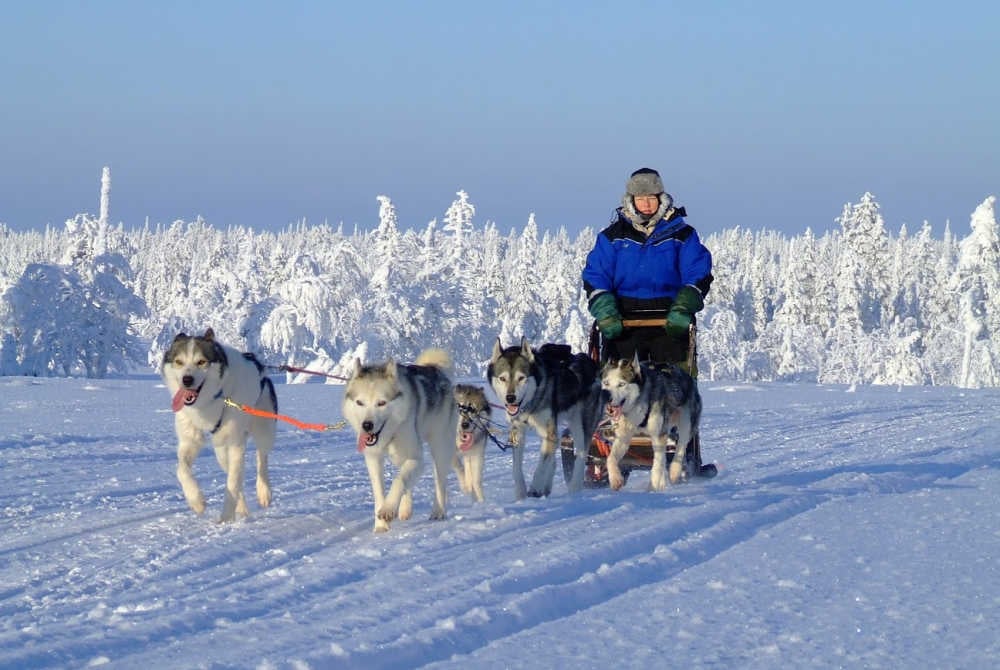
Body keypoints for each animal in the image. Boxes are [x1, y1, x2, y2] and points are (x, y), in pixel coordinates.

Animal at [161, 328, 277, 522]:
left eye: (201, 362)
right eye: (179, 362)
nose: (187, 379)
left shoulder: (236, 443)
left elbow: (232, 482)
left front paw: (226, 517)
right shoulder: (189, 441)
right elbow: (181, 470)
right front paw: (196, 500)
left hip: (263, 429)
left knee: (261, 459)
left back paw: (263, 492)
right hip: (221, 450)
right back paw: (242, 509)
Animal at [342, 349, 457, 533]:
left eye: (381, 403)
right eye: (360, 402)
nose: (366, 425)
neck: (390, 434)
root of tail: (435, 369)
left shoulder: (416, 458)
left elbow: (399, 480)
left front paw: (388, 509)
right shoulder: (373, 459)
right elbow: (380, 491)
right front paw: (381, 525)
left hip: (439, 446)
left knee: (439, 482)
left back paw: (438, 512)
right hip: (400, 456)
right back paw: (405, 509)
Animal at [487, 337, 604, 500]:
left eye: (521, 378)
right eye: (502, 378)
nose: (510, 398)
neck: (530, 403)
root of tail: (592, 364)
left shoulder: (549, 432)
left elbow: (542, 465)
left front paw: (535, 487)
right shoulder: (518, 432)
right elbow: (516, 468)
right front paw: (521, 494)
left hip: (580, 425)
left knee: (581, 453)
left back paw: (574, 488)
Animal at [600, 354, 701, 490]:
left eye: (621, 384)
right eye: (606, 383)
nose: (607, 398)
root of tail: (688, 376)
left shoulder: (659, 435)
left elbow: (657, 465)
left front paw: (654, 487)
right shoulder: (623, 436)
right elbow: (610, 458)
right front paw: (616, 479)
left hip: (685, 423)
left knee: (680, 448)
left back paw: (674, 472)